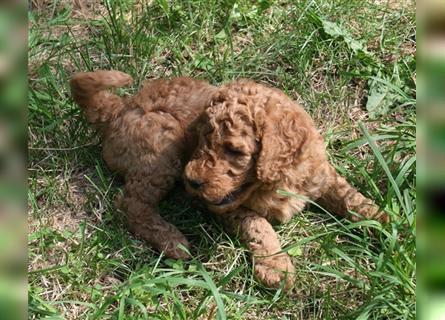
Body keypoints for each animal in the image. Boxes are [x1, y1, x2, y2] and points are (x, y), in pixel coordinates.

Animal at [71, 70, 386, 290]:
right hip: (162, 144)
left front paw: (386, 223)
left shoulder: (322, 176)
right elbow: (258, 225)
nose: (191, 181)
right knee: (131, 204)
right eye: (202, 138)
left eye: (234, 150)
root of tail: (118, 108)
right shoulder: (225, 208)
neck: (279, 180)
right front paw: (276, 267)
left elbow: (352, 198)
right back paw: (172, 240)